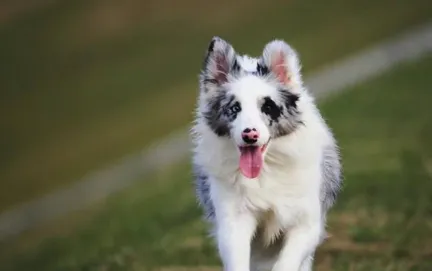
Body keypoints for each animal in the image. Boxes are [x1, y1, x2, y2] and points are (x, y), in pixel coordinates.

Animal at [191, 36, 342, 271]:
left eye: (268, 107)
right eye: (234, 108)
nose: (249, 135)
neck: (265, 171)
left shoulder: (306, 224)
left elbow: (286, 263)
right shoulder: (233, 222)